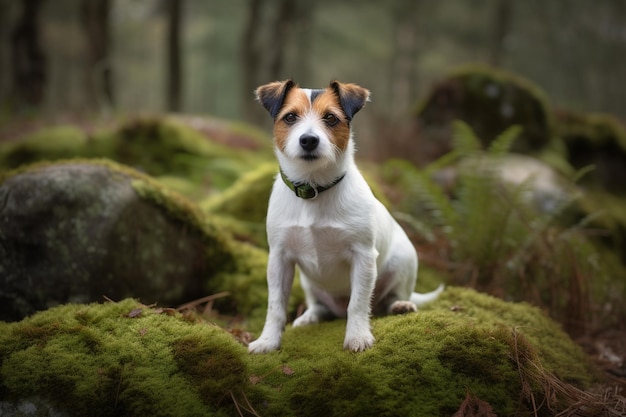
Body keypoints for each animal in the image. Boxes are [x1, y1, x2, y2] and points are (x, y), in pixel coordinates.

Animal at [246, 79, 442, 352]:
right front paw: (268, 341)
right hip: (309, 283)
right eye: (290, 117)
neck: (314, 190)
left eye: (330, 118)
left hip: (402, 263)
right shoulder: (279, 258)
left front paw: (357, 336)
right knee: (321, 306)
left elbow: (358, 303)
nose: (309, 140)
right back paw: (310, 316)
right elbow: (275, 306)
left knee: (387, 299)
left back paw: (400, 306)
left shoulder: (363, 256)